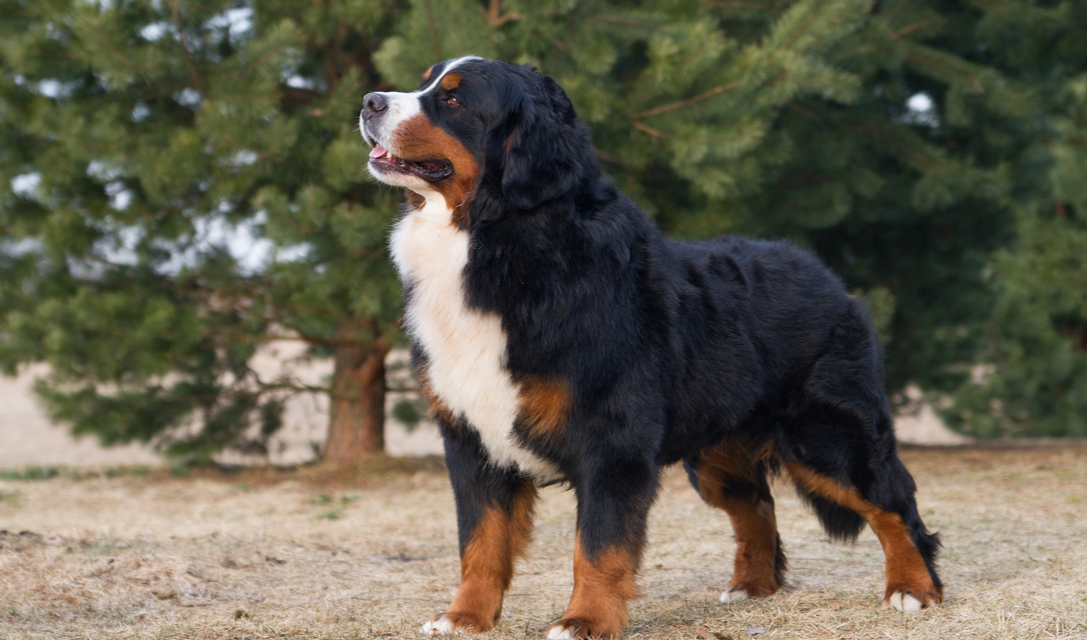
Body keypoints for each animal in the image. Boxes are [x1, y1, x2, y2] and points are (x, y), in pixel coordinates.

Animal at [359, 56, 944, 640]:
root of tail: (826, 276)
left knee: (894, 506)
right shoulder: (472, 438)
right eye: (427, 80)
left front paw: (585, 621)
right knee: (756, 506)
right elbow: (480, 540)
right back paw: (753, 586)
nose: (369, 101)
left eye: (453, 100)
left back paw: (913, 588)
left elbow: (598, 546)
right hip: (717, 451)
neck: (497, 239)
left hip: (828, 436)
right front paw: (465, 617)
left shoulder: (611, 440)